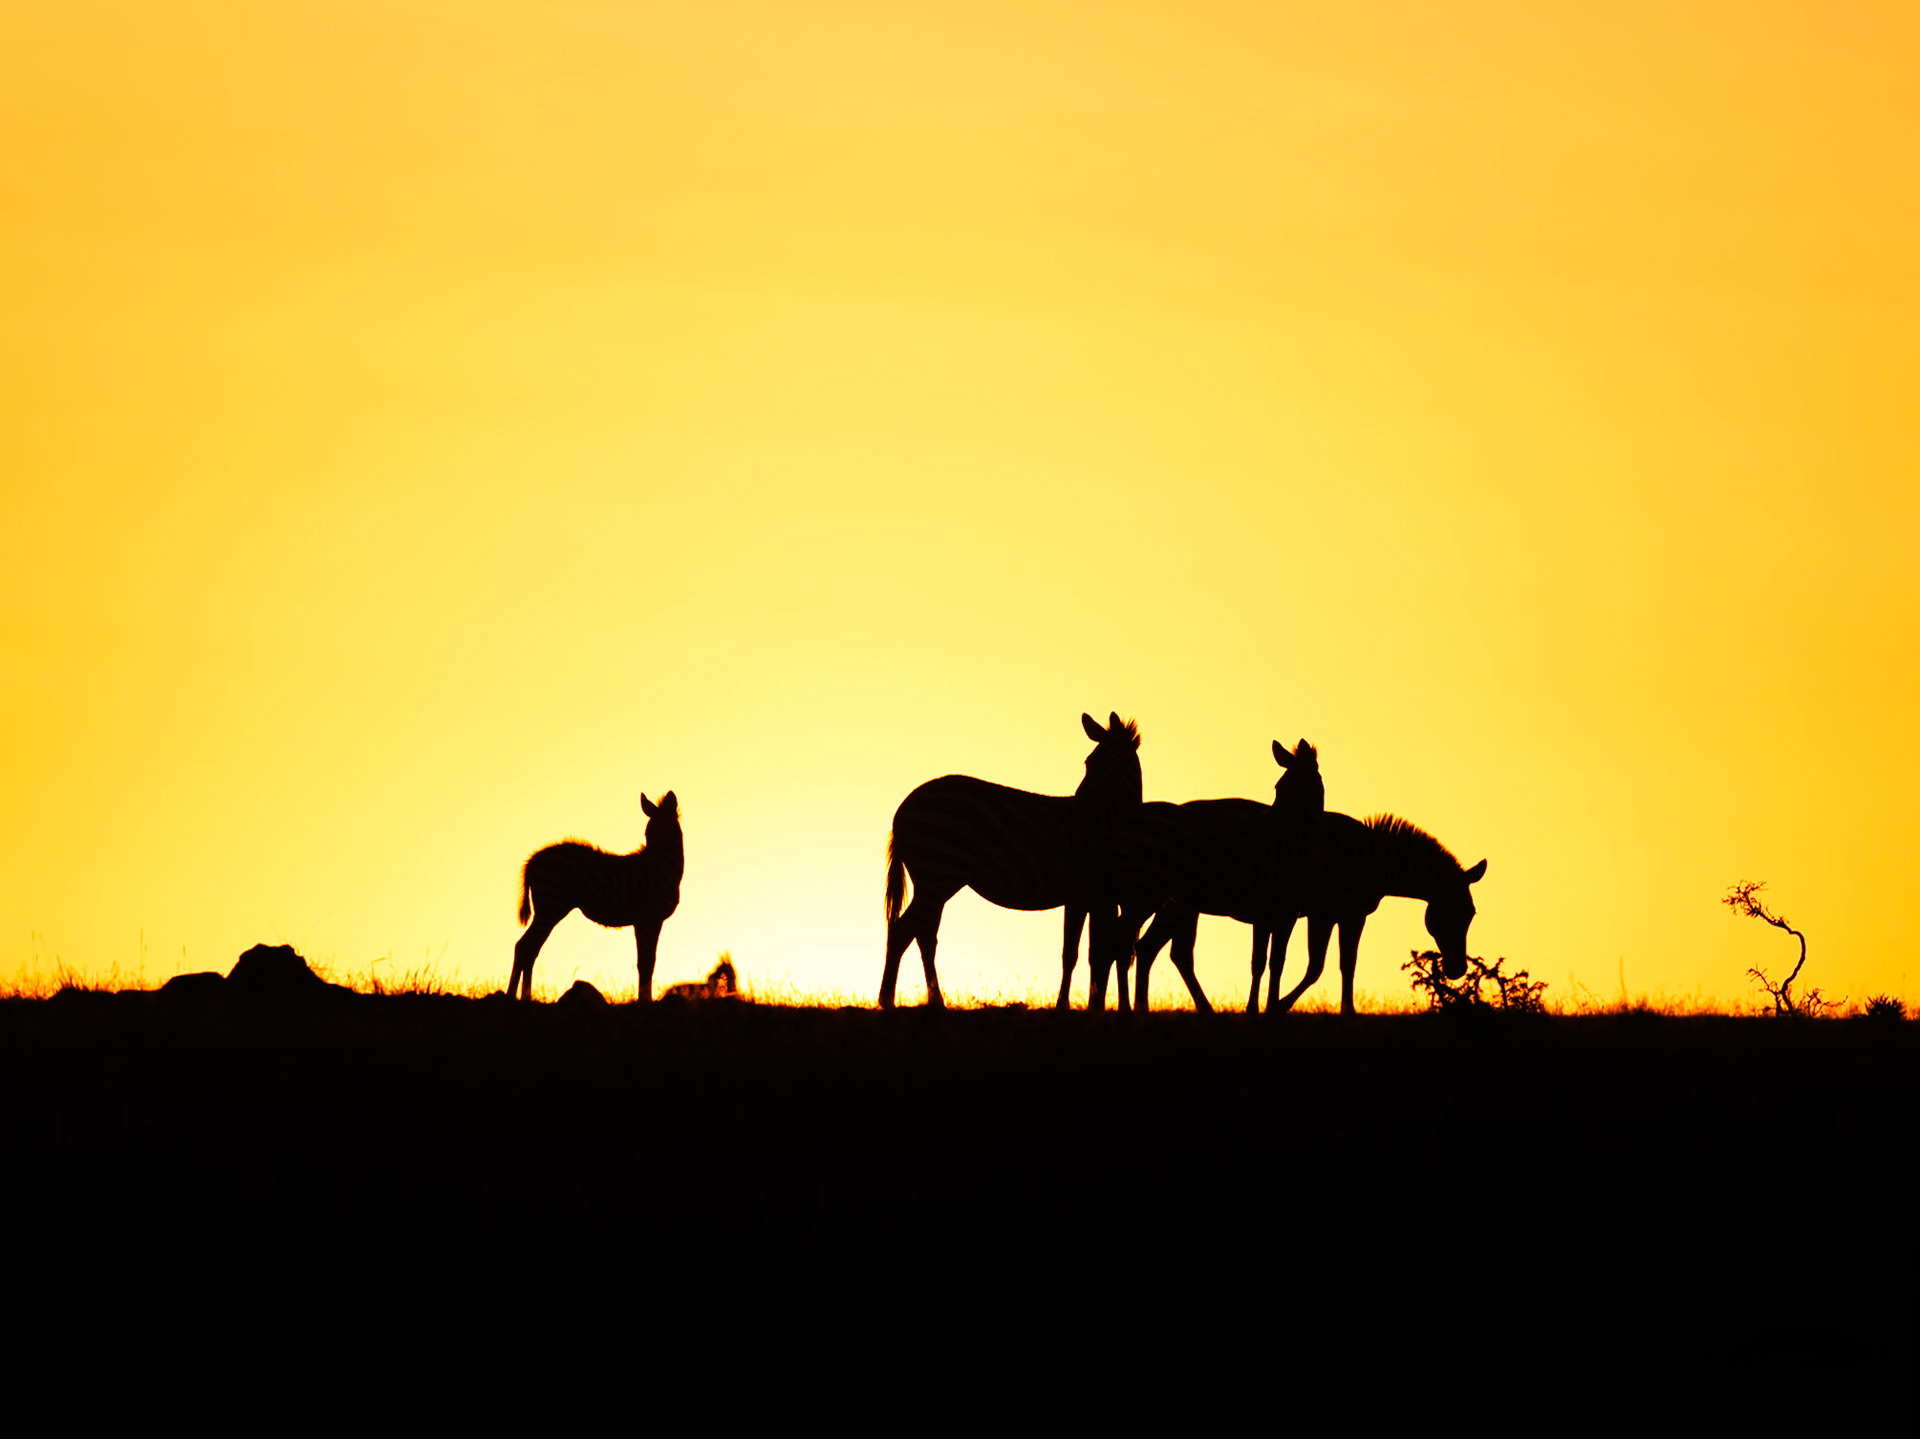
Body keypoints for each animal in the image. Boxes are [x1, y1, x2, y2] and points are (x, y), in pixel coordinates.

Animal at [511, 791, 683, 1003]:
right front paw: (645, 1000)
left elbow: (643, 962)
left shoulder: (642, 921)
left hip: (548, 908)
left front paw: (644, 998)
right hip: (551, 906)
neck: (665, 868)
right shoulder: (651, 918)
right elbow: (648, 962)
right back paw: (513, 995)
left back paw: (524, 996)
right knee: (525, 946)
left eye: (654, 833)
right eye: (647, 834)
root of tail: (533, 859)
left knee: (530, 948)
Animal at [882, 711, 1142, 1011]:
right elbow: (1088, 952)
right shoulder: (1092, 895)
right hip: (936, 875)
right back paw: (891, 999)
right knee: (905, 930)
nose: (1082, 810)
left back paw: (933, 1001)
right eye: (1088, 764)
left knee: (921, 934)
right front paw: (1075, 1006)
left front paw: (1091, 1006)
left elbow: (1095, 952)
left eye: (1117, 767)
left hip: (934, 882)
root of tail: (904, 806)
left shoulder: (1095, 897)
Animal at [1099, 738, 1325, 1014]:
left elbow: (1266, 962)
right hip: (1145, 890)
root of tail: (1125, 823)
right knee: (1121, 943)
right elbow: (1270, 961)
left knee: (1137, 945)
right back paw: (1124, 1009)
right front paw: (1265, 1009)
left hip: (1151, 897)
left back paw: (1139, 1008)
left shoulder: (1273, 912)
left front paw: (1260, 1009)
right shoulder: (1280, 909)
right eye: (1279, 788)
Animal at [1134, 809, 1486, 1016]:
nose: (1457, 970)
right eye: (1464, 912)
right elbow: (1335, 964)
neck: (1375, 861)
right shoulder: (1345, 913)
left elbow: (1322, 965)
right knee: (1162, 950)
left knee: (1155, 949)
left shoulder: (1326, 913)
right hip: (1174, 903)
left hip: (1176, 905)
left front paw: (1281, 1006)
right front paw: (1340, 1012)